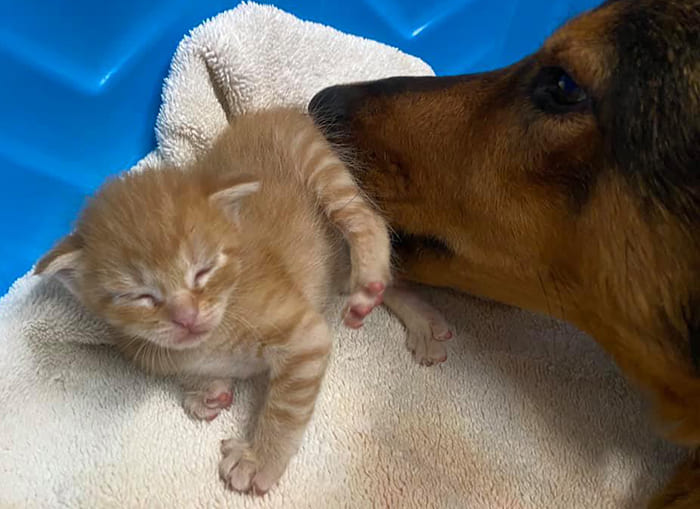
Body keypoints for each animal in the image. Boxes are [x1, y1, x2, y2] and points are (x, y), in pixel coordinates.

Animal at [35, 106, 452, 492]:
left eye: (203, 271)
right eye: (139, 296)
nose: (186, 316)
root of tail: (265, 111)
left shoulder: (305, 337)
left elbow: (284, 409)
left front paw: (259, 459)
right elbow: (188, 373)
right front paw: (204, 393)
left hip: (317, 163)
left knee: (365, 216)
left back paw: (369, 280)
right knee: (390, 278)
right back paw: (421, 321)